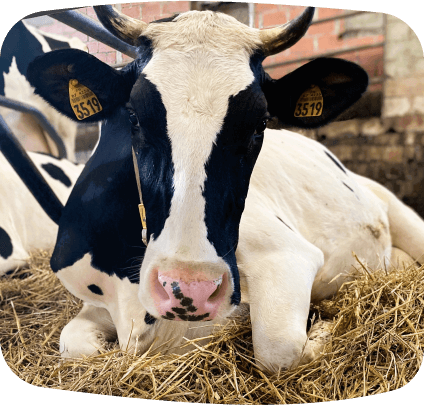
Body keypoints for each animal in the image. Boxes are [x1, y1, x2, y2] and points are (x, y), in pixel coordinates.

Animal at [24, 5, 424, 372]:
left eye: (260, 124)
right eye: (133, 116)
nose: (190, 289)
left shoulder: (287, 255)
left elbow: (278, 349)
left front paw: (325, 323)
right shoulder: (96, 302)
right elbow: (72, 344)